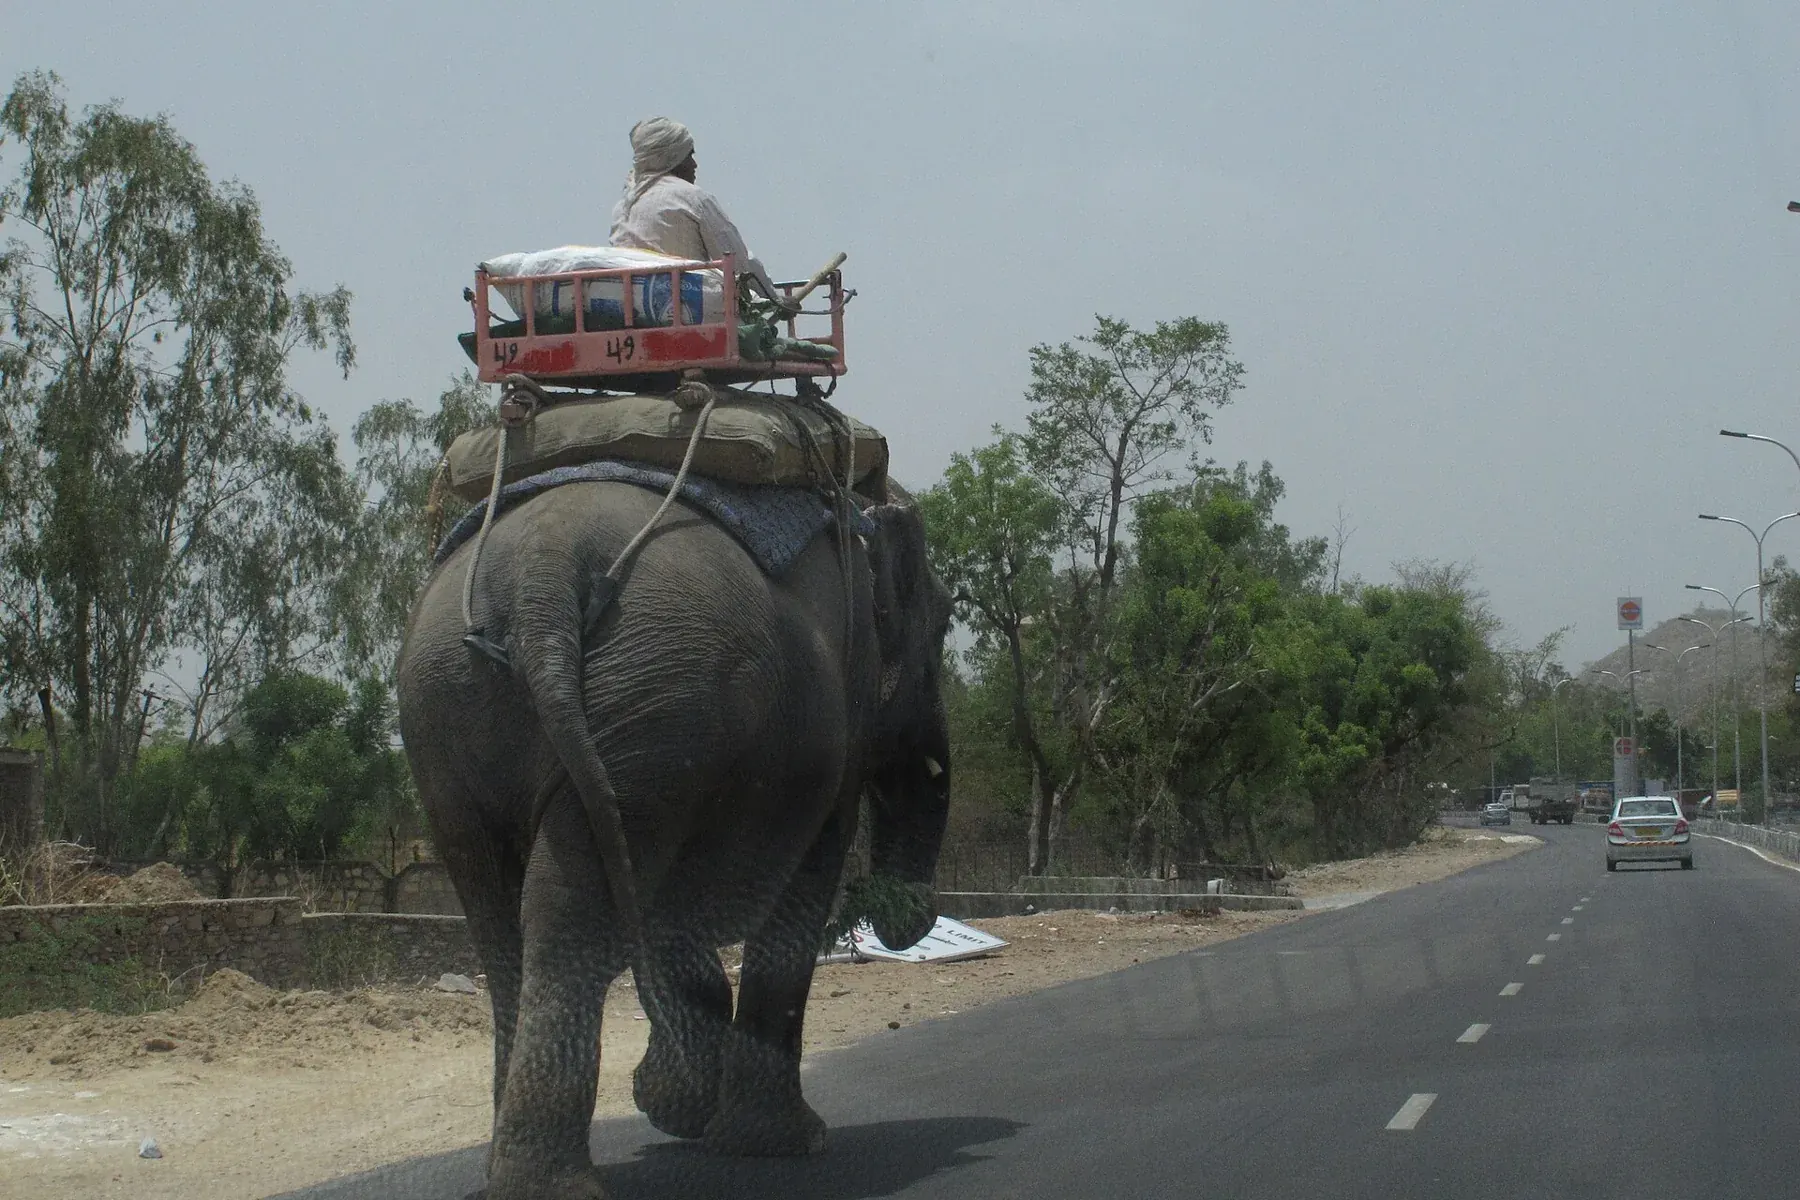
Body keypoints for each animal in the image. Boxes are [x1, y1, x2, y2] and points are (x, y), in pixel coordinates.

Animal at [395, 474, 954, 1200]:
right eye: (943, 628)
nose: (910, 919)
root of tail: (541, 572)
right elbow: (808, 867)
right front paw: (779, 1142)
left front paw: (681, 1105)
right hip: (649, 708)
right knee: (580, 907)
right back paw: (560, 1186)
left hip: (473, 711)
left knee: (513, 915)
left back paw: (515, 1178)